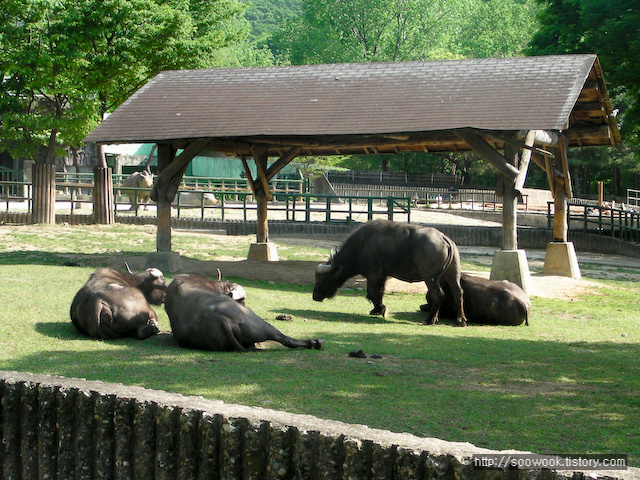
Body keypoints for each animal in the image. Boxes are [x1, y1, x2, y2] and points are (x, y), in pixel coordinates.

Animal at [314, 218, 468, 326]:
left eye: (322, 279)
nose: (315, 296)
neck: (362, 245)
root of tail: (444, 238)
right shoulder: (383, 276)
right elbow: (380, 292)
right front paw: (376, 310)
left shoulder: (374, 274)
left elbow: (372, 292)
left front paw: (381, 309)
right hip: (452, 273)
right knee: (458, 292)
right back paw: (460, 320)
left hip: (430, 277)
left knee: (438, 294)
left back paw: (430, 319)